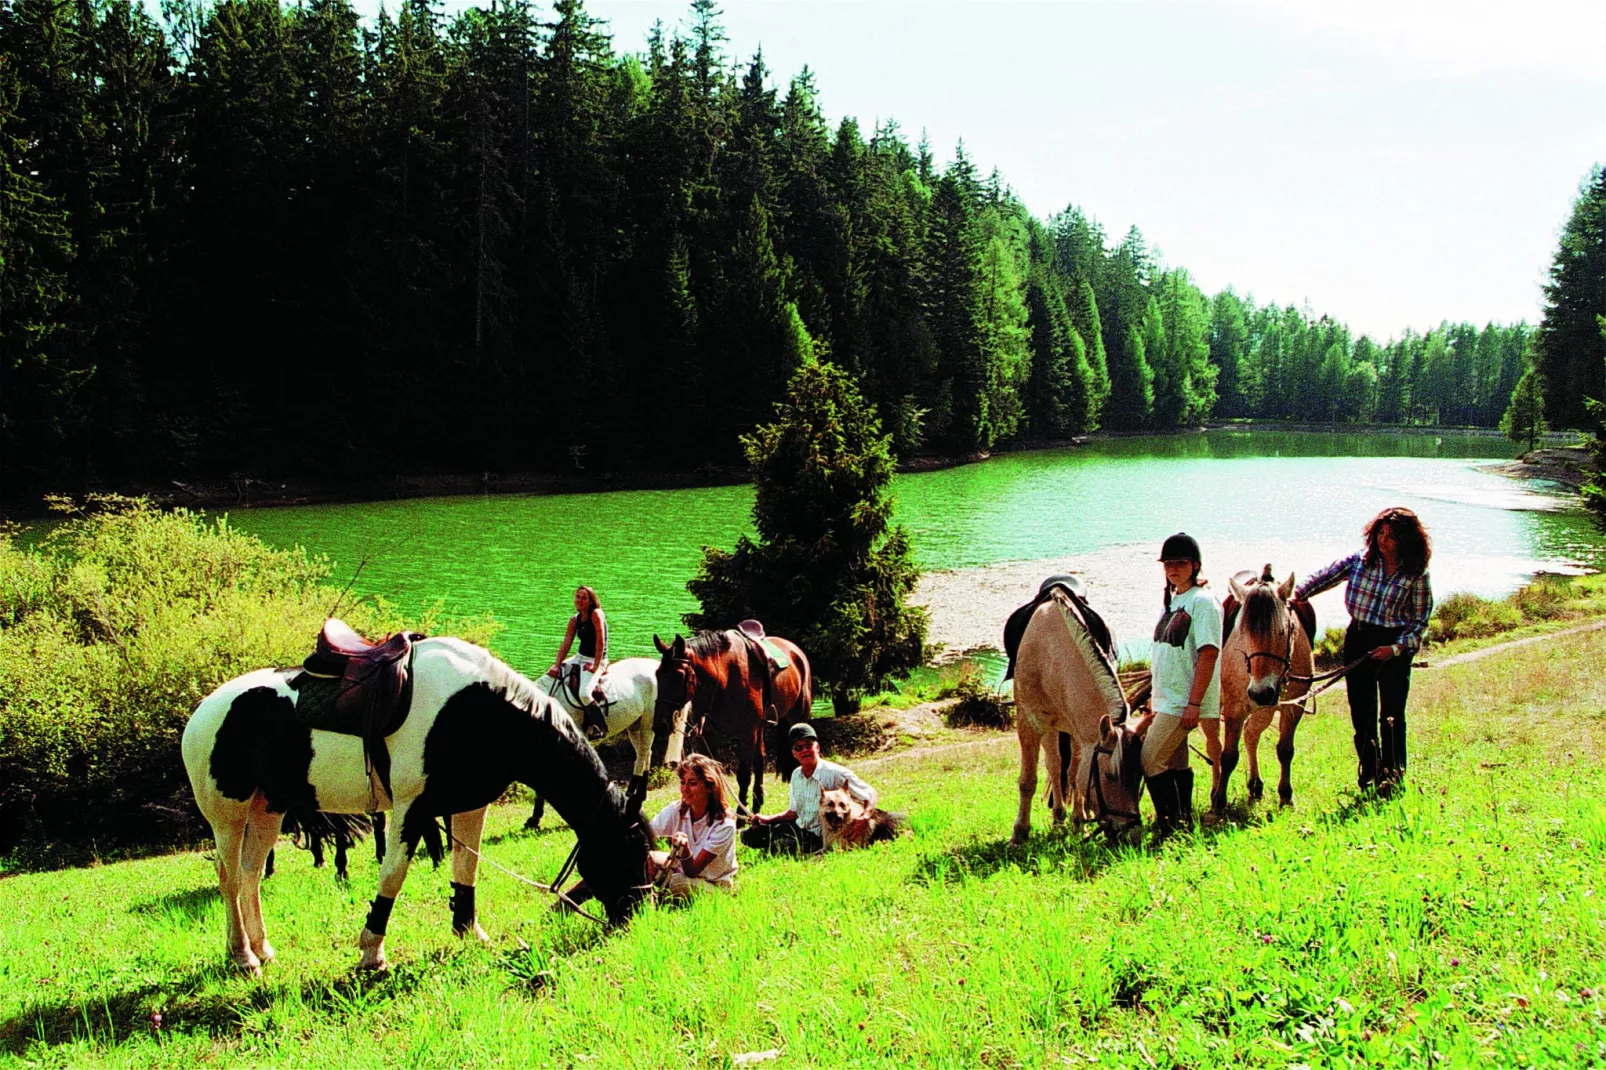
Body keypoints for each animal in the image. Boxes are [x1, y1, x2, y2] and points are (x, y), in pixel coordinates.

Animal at [189, 633, 658, 976]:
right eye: (628, 852)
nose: (636, 915)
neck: (481, 710)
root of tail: (203, 712)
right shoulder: (410, 808)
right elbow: (393, 876)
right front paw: (372, 952)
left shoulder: (470, 804)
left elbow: (466, 869)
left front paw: (469, 932)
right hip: (228, 816)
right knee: (230, 880)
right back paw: (242, 956)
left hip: (267, 810)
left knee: (250, 875)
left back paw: (262, 947)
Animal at [526, 655, 677, 829]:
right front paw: (534, 818)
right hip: (634, 725)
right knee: (645, 754)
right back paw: (639, 795)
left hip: (648, 722)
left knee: (642, 755)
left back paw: (632, 796)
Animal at [648, 626, 809, 809]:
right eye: (658, 674)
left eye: (679, 675)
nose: (660, 725)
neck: (724, 679)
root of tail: (796, 650)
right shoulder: (708, 734)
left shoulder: (746, 732)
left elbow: (744, 774)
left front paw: (741, 813)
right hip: (760, 728)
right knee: (760, 759)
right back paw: (757, 802)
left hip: (797, 719)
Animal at [1214, 565, 1316, 809]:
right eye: (1243, 632)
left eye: (1282, 631)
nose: (1260, 692)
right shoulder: (1234, 708)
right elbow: (1228, 755)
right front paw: (1219, 801)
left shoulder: (1293, 707)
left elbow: (1285, 750)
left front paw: (1286, 795)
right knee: (1213, 746)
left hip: (1265, 710)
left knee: (1251, 733)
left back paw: (1255, 784)